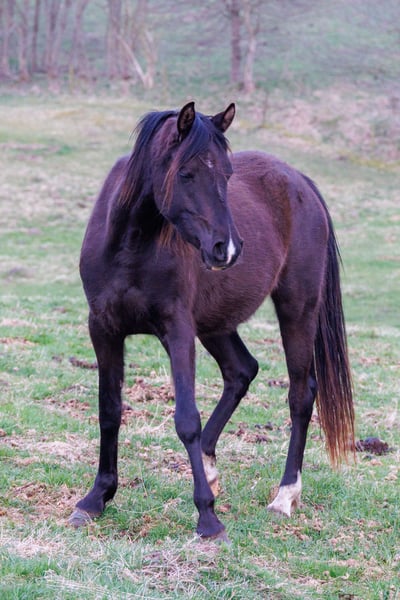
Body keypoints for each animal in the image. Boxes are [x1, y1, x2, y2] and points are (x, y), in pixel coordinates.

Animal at [69, 101, 355, 541]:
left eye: (227, 174)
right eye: (186, 173)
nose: (228, 249)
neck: (130, 244)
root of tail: (300, 182)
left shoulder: (178, 331)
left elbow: (187, 418)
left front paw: (207, 516)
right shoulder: (103, 330)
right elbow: (109, 411)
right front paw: (96, 498)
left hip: (297, 309)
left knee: (300, 394)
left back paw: (285, 495)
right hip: (217, 325)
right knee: (242, 371)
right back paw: (208, 464)